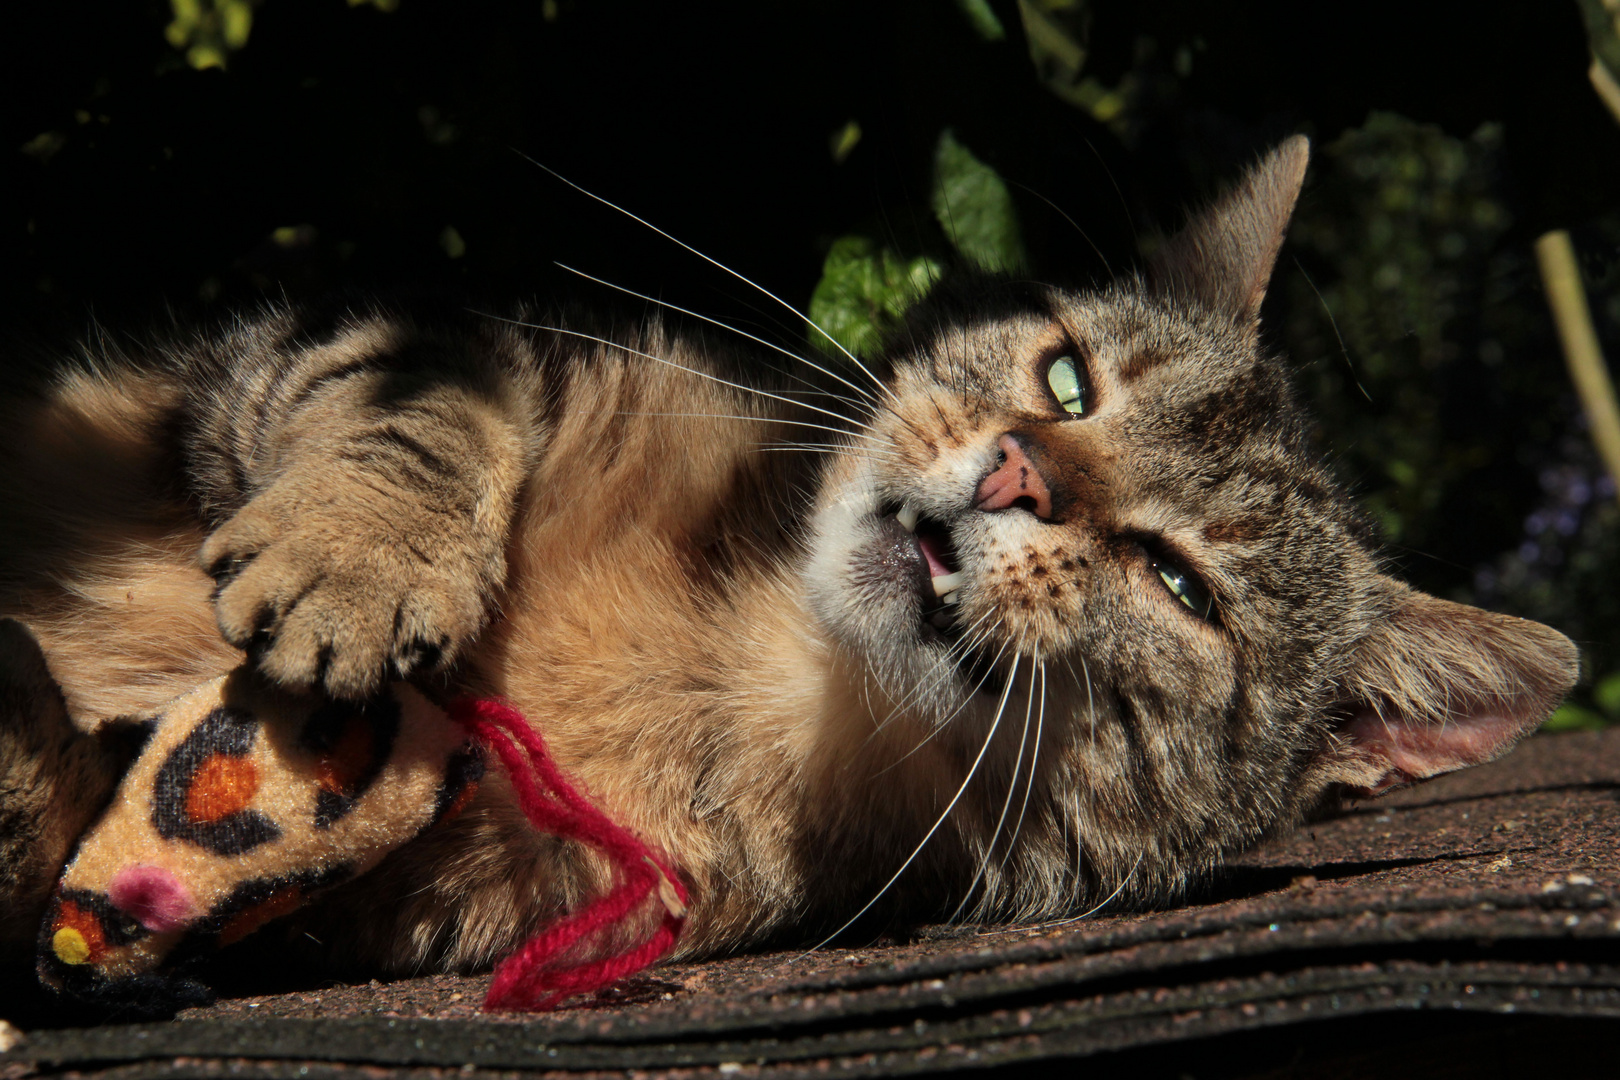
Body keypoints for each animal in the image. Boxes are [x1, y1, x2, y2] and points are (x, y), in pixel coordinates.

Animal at [0, 139, 1574, 977]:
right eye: (1068, 382)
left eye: (1181, 584)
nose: (1017, 471)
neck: (765, 654)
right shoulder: (401, 345)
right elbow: (409, 406)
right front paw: (358, 552)